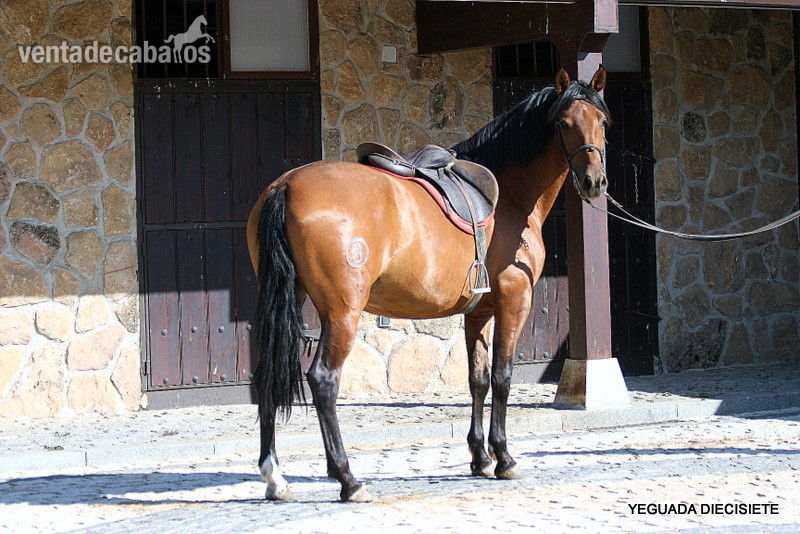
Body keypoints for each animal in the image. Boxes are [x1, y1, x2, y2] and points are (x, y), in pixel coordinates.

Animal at [246, 67, 610, 502]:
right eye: (563, 122)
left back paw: (275, 477)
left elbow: (478, 379)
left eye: (603, 121)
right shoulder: (513, 300)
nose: (593, 182)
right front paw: (504, 458)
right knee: (323, 381)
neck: (509, 195)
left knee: (268, 374)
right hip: (342, 312)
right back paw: (348, 479)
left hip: (284, 298)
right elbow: (503, 377)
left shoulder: (479, 312)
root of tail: (286, 186)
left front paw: (480, 458)